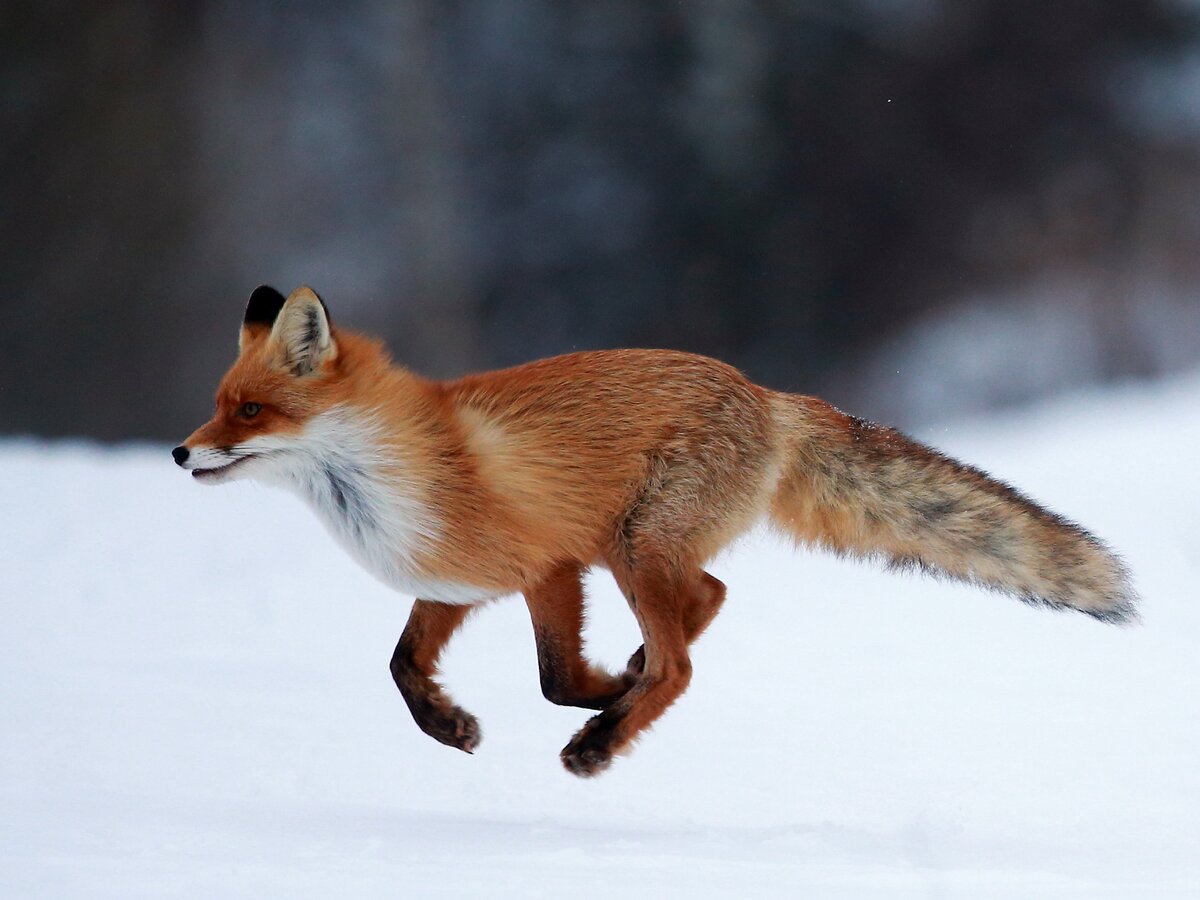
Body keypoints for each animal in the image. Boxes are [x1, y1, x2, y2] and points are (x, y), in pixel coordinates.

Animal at [175, 285, 1132, 777]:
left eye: (249, 411)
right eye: (218, 403)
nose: (182, 452)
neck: (395, 474)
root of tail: (768, 395)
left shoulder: (549, 566)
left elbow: (557, 677)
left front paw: (599, 703)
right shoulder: (456, 586)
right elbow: (404, 668)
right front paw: (451, 728)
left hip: (633, 547)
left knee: (683, 660)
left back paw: (604, 740)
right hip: (635, 548)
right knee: (709, 597)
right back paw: (627, 686)